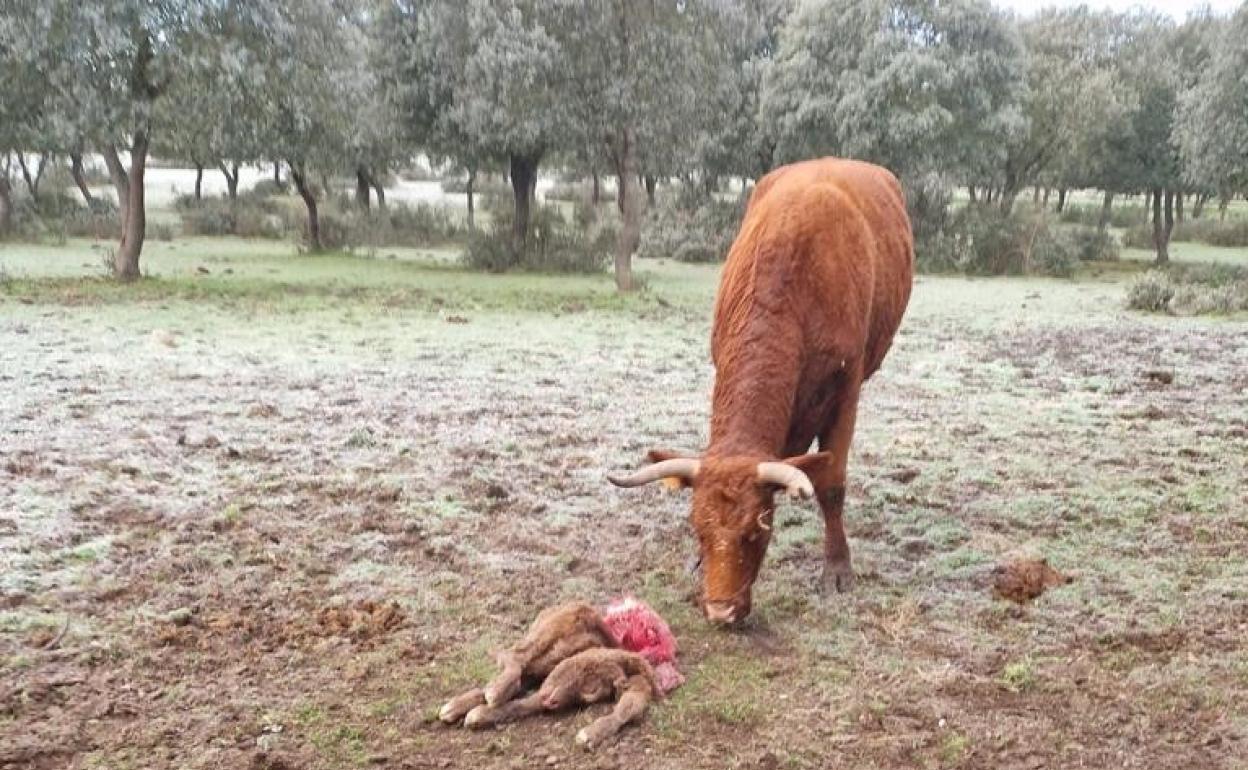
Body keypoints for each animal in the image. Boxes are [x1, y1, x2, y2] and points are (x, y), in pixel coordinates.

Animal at [609, 157, 913, 623]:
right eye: (697, 529)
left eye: (757, 530)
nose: (720, 611)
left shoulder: (846, 390)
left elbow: (831, 484)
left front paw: (837, 568)